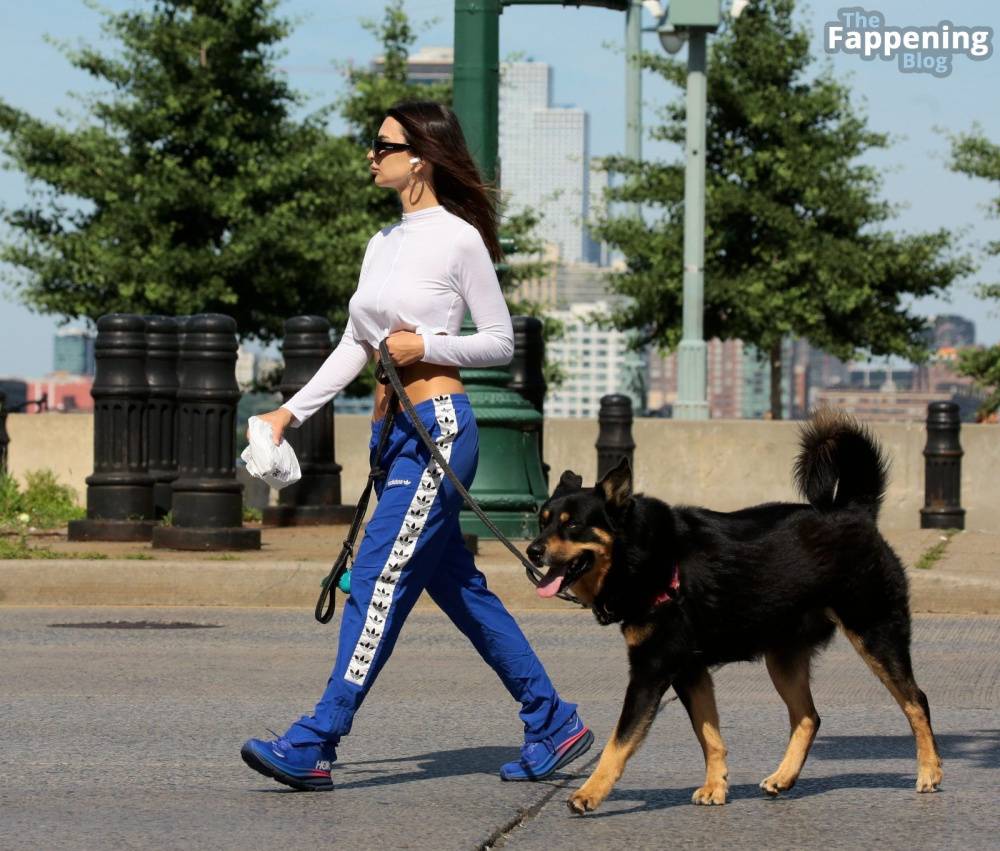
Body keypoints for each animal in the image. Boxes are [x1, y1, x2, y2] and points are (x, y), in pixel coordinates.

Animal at [528, 410, 940, 816]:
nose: (532, 550)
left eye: (573, 524)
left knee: (916, 701)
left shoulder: (652, 670)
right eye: (542, 521)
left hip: (875, 634)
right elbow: (709, 734)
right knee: (808, 716)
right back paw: (783, 777)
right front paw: (716, 786)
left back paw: (930, 771)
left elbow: (618, 743)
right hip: (783, 656)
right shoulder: (690, 671)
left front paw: (589, 792)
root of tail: (856, 512)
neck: (642, 553)